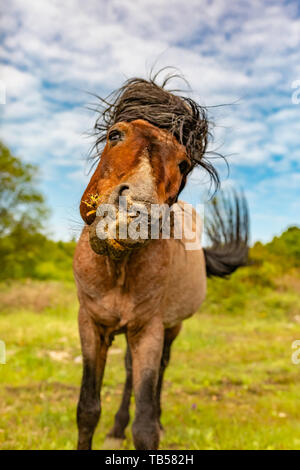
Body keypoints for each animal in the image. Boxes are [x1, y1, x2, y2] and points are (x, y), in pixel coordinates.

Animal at [73, 74, 248, 452]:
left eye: (183, 164)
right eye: (115, 135)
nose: (134, 213)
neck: (118, 270)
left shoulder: (149, 329)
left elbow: (145, 426)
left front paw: (150, 424)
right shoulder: (90, 324)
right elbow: (87, 409)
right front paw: (110, 426)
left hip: (170, 328)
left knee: (160, 373)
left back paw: (156, 419)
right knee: (128, 370)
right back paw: (116, 428)